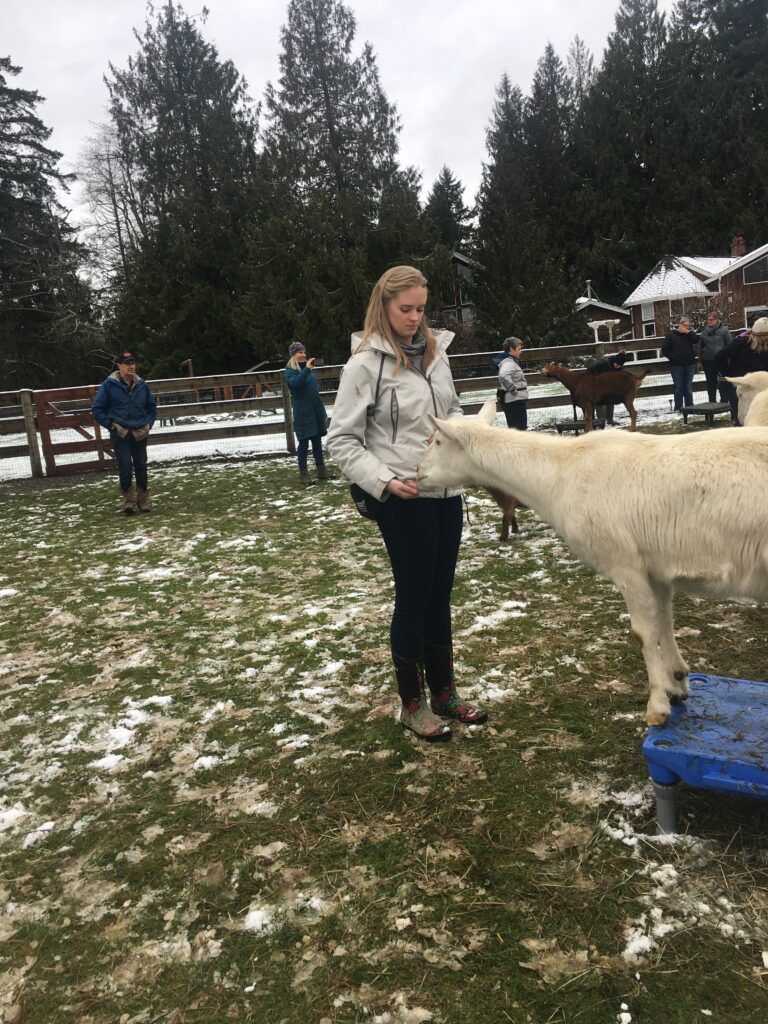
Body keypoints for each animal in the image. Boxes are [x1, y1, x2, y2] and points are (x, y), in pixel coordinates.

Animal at [417, 399, 768, 726]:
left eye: (438, 441)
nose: (417, 473)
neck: (560, 473)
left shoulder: (625, 563)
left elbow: (642, 632)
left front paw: (657, 705)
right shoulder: (655, 567)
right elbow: (664, 622)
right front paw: (677, 683)